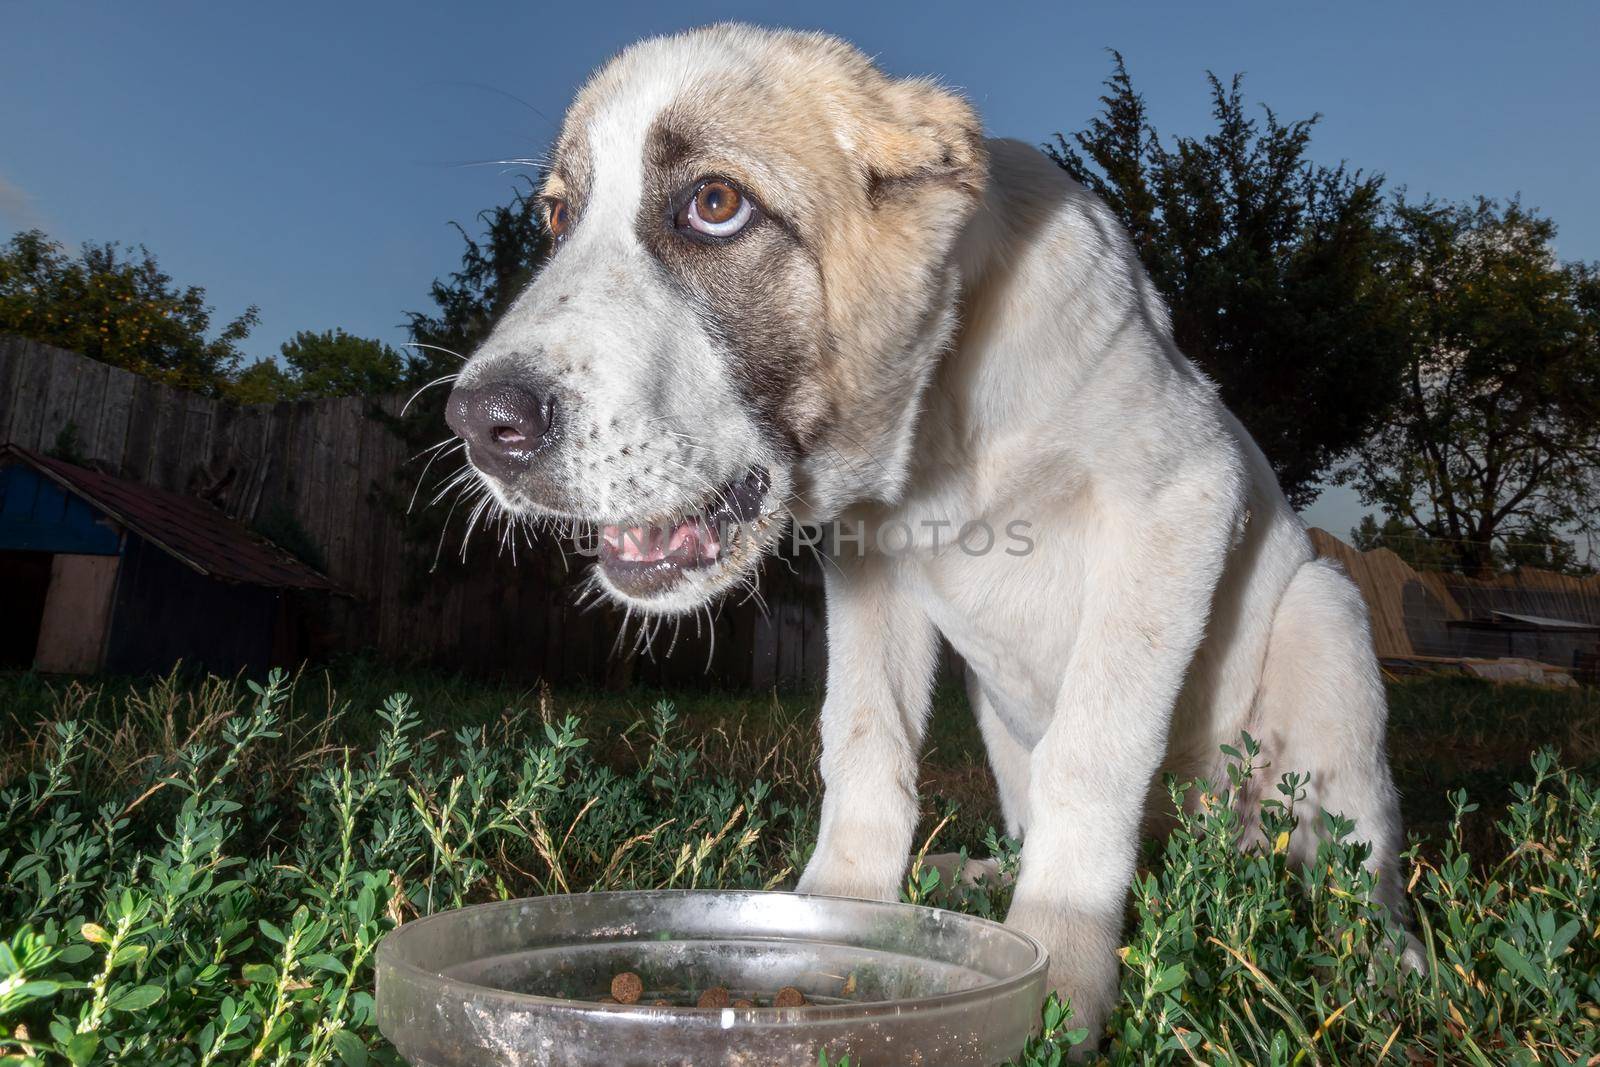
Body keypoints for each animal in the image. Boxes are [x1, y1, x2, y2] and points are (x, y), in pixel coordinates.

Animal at [444, 22, 1408, 1043]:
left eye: (714, 204)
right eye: (556, 221)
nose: (479, 424)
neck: (942, 402)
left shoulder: (1180, 501)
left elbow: (1090, 754)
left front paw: (1061, 965)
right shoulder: (871, 563)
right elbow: (865, 743)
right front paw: (839, 915)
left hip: (1325, 620)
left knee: (1357, 862)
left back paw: (1388, 962)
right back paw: (975, 877)